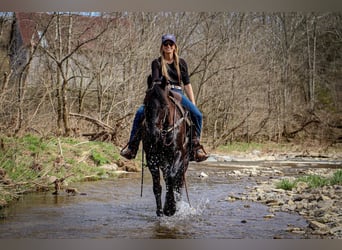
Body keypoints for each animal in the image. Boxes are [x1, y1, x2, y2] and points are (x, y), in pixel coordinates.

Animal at [142, 77, 190, 216]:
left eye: (164, 105)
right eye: (145, 104)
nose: (153, 134)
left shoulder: (178, 154)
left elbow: (171, 178)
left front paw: (170, 208)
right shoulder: (151, 158)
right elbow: (157, 186)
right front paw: (160, 211)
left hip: (184, 162)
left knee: (178, 184)